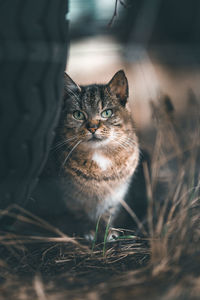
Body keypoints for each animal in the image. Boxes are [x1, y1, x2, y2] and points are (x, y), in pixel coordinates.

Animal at [35, 69, 139, 239]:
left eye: (107, 113)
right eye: (78, 114)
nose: (92, 127)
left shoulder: (115, 195)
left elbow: (107, 213)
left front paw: (107, 231)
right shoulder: (71, 198)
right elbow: (80, 214)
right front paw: (89, 230)